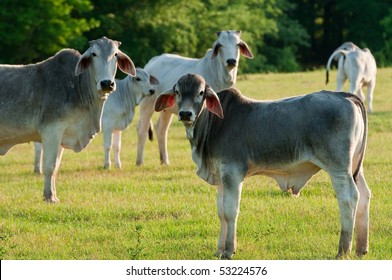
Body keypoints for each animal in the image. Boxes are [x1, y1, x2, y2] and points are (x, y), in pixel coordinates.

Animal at [0, 37, 136, 203]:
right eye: (94, 54)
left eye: (115, 54)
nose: (106, 83)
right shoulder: (51, 130)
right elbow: (49, 166)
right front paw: (50, 198)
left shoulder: (62, 135)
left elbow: (56, 168)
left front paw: (52, 195)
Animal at [136, 30, 254, 166]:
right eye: (220, 45)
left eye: (238, 44)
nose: (231, 61)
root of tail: (152, 61)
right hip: (147, 103)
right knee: (142, 129)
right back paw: (140, 161)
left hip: (166, 109)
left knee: (161, 128)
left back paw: (165, 161)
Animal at [154, 73, 370, 260]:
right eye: (177, 92)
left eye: (200, 93)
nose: (185, 114)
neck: (214, 124)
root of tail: (344, 95)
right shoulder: (221, 178)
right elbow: (221, 213)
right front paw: (219, 249)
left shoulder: (232, 173)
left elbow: (230, 211)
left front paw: (229, 250)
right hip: (354, 169)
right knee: (365, 195)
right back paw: (361, 248)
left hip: (338, 169)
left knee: (349, 199)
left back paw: (343, 250)